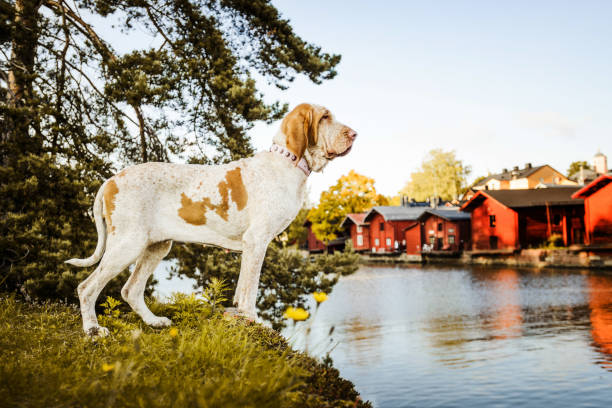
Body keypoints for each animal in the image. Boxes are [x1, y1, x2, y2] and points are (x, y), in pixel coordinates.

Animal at [67, 103, 356, 336]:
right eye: (325, 117)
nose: (354, 134)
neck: (286, 163)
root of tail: (111, 180)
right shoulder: (257, 241)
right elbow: (251, 289)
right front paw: (253, 319)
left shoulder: (251, 247)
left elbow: (242, 287)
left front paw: (242, 315)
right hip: (128, 245)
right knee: (86, 287)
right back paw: (92, 330)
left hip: (156, 247)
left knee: (131, 290)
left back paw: (153, 321)